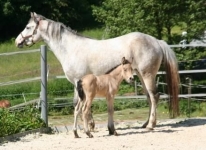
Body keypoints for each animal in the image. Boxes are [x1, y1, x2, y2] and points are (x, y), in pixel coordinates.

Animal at [14, 12, 179, 129]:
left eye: (28, 27)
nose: (17, 41)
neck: (71, 48)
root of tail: (156, 41)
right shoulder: (79, 84)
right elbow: (82, 103)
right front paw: (89, 125)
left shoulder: (77, 81)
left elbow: (79, 103)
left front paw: (88, 126)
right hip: (140, 75)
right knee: (149, 97)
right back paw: (145, 124)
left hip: (147, 75)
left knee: (154, 96)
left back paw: (151, 125)